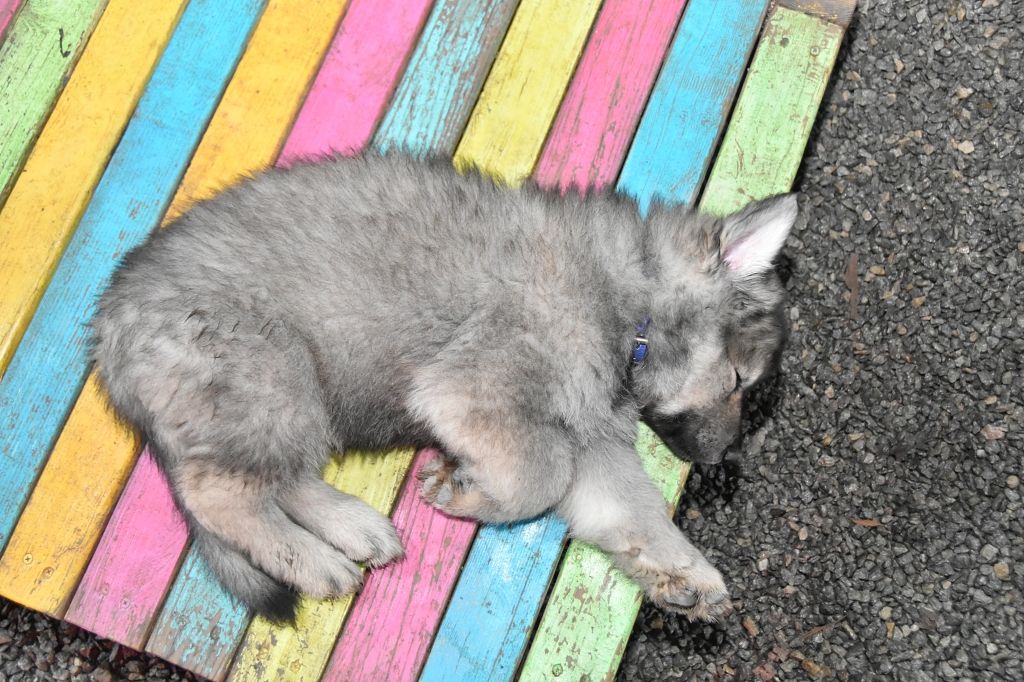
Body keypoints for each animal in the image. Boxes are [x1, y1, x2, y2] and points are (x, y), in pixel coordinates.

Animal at [91, 154, 794, 623]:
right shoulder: (473, 392)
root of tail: (110, 328)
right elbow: (539, 474)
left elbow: (634, 512)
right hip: (275, 374)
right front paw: (466, 492)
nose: (727, 459)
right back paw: (313, 561)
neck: (630, 305)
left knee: (275, 478)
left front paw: (687, 573)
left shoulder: (592, 440)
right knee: (220, 494)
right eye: (737, 379)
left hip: (290, 400)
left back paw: (351, 528)